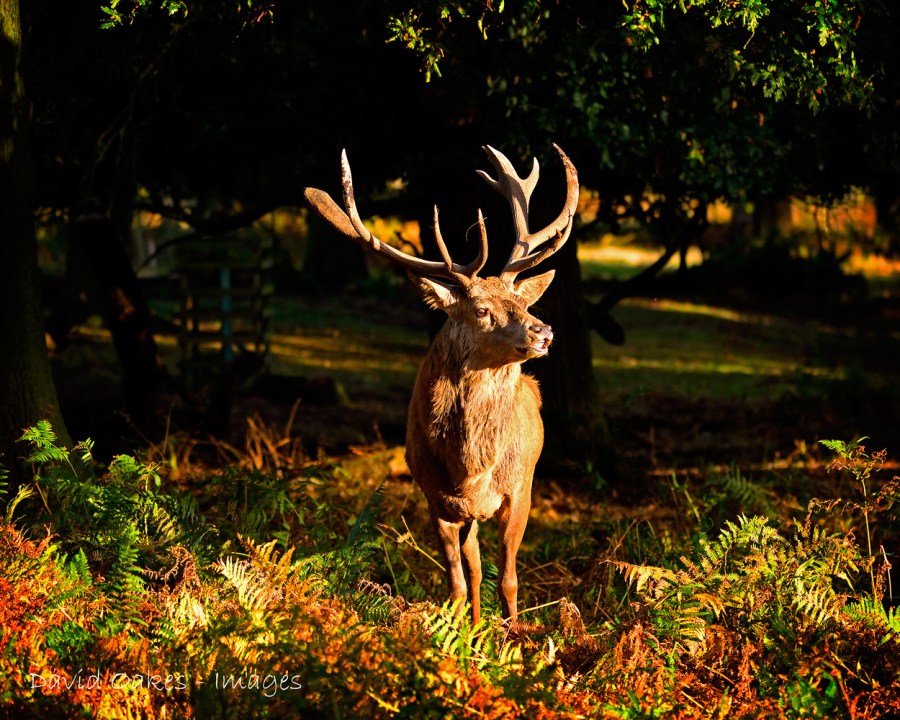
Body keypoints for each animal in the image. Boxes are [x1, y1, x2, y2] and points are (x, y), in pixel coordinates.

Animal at [304, 144, 579, 624]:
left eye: (523, 302)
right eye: (482, 310)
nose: (543, 332)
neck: (470, 471)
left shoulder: (520, 491)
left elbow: (509, 580)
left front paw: (516, 636)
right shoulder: (435, 500)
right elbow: (457, 582)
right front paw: (460, 632)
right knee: (474, 569)